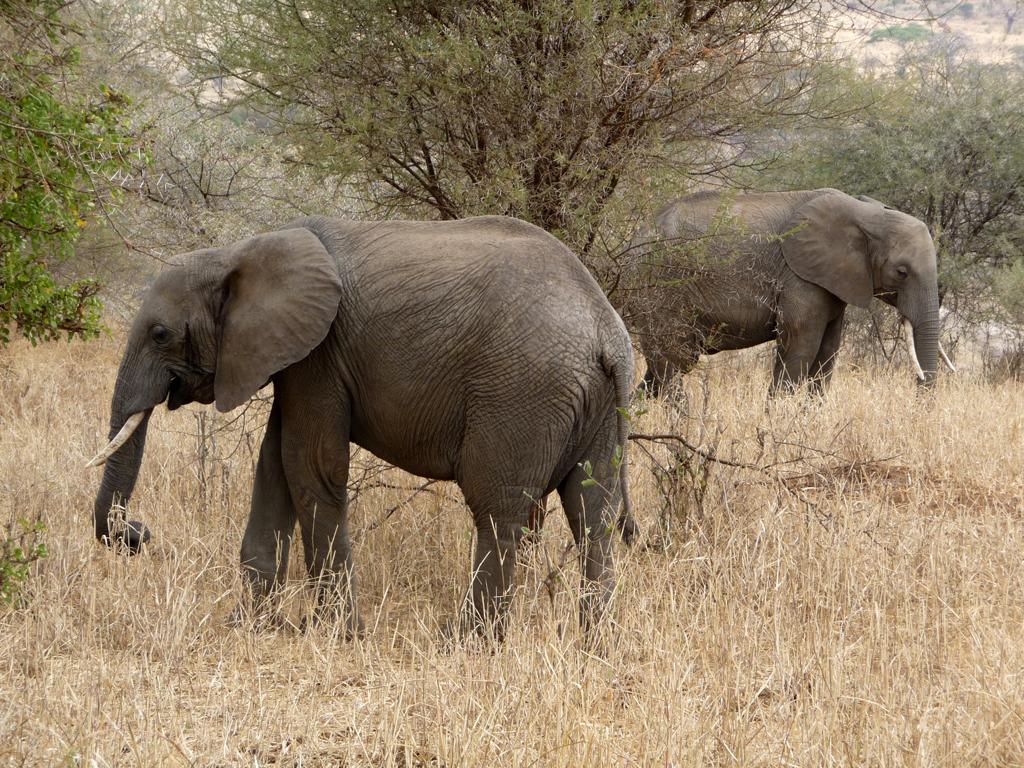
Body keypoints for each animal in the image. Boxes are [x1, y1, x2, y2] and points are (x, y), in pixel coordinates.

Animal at [87, 215, 634, 643]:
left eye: (160, 334)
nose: (138, 534)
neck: (237, 253)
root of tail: (608, 331)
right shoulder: (296, 360)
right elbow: (275, 465)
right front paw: (249, 626)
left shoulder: (319, 355)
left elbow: (308, 466)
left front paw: (335, 634)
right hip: (598, 408)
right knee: (594, 513)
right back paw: (596, 645)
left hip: (521, 388)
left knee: (498, 509)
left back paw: (462, 643)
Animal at [628, 189, 946, 398]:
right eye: (902, 272)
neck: (866, 213)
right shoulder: (799, 277)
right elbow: (800, 346)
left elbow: (827, 352)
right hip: (658, 288)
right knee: (671, 363)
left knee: (666, 366)